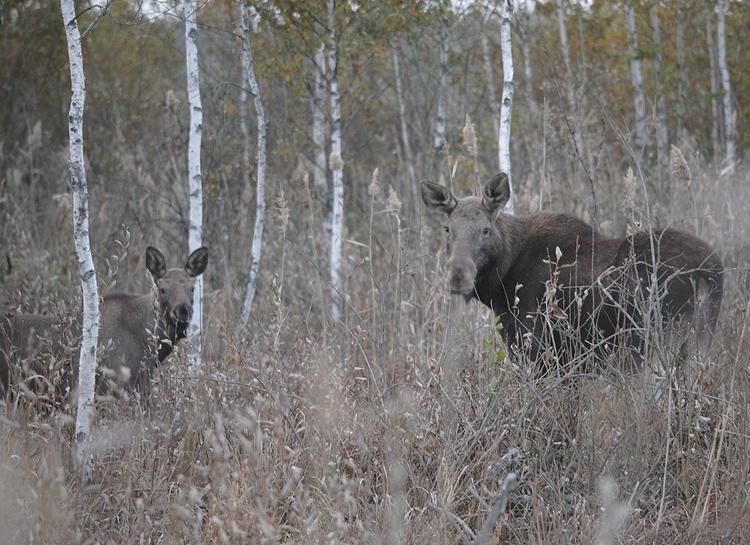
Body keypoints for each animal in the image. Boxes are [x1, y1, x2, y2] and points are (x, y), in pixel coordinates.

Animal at [424, 173, 724, 370]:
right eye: (447, 229)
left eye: (485, 230)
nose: (458, 275)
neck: (501, 284)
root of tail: (711, 271)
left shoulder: (536, 347)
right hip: (698, 342)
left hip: (656, 341)